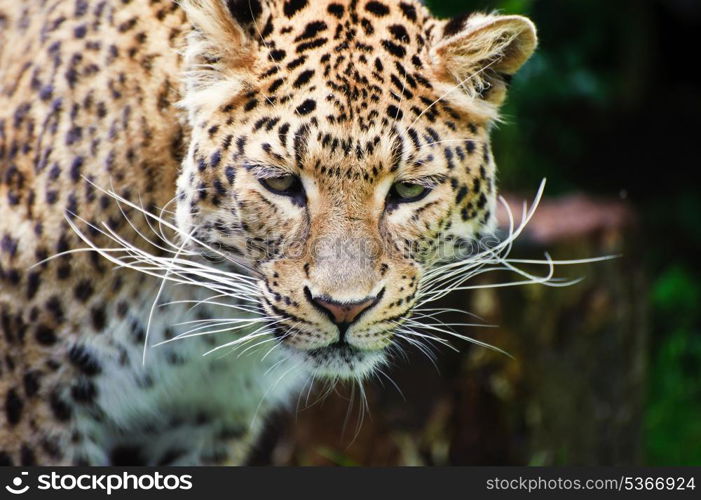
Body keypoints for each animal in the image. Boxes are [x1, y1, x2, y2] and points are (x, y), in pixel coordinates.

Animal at [0, 0, 536, 466]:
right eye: (280, 183)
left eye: (407, 190)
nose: (345, 309)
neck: (200, 321)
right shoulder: (38, 407)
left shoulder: (208, 421)